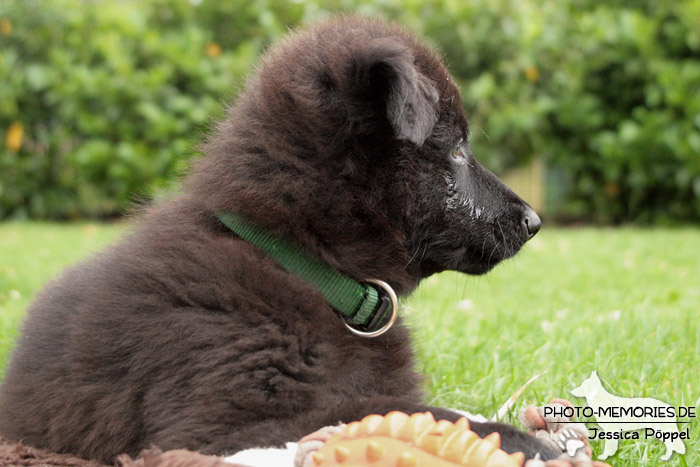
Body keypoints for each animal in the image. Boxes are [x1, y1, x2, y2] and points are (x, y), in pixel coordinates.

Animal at [1, 14, 552, 464]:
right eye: (456, 149)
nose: (535, 222)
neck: (302, 264)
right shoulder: (218, 425)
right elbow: (382, 408)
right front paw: (518, 439)